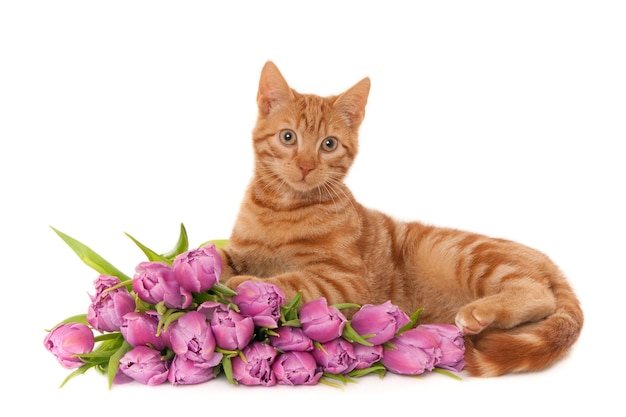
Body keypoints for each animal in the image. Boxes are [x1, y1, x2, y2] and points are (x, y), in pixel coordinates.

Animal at [217, 61, 584, 376]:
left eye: (329, 144)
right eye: (288, 137)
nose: (306, 166)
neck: (281, 208)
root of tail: (547, 260)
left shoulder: (345, 282)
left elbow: (292, 281)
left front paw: (247, 287)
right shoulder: (240, 250)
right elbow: (217, 255)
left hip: (473, 259)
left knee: (538, 293)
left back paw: (479, 312)